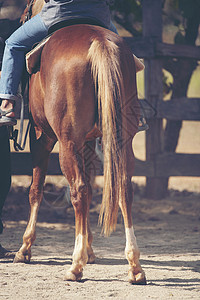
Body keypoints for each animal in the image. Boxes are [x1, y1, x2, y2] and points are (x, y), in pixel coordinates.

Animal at [14, 0, 146, 284]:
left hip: (66, 143)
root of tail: (98, 42)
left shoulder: (41, 137)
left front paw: (25, 248)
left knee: (79, 190)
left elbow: (35, 189)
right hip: (122, 141)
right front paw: (90, 249)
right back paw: (134, 267)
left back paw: (75, 266)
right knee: (123, 189)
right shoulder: (87, 142)